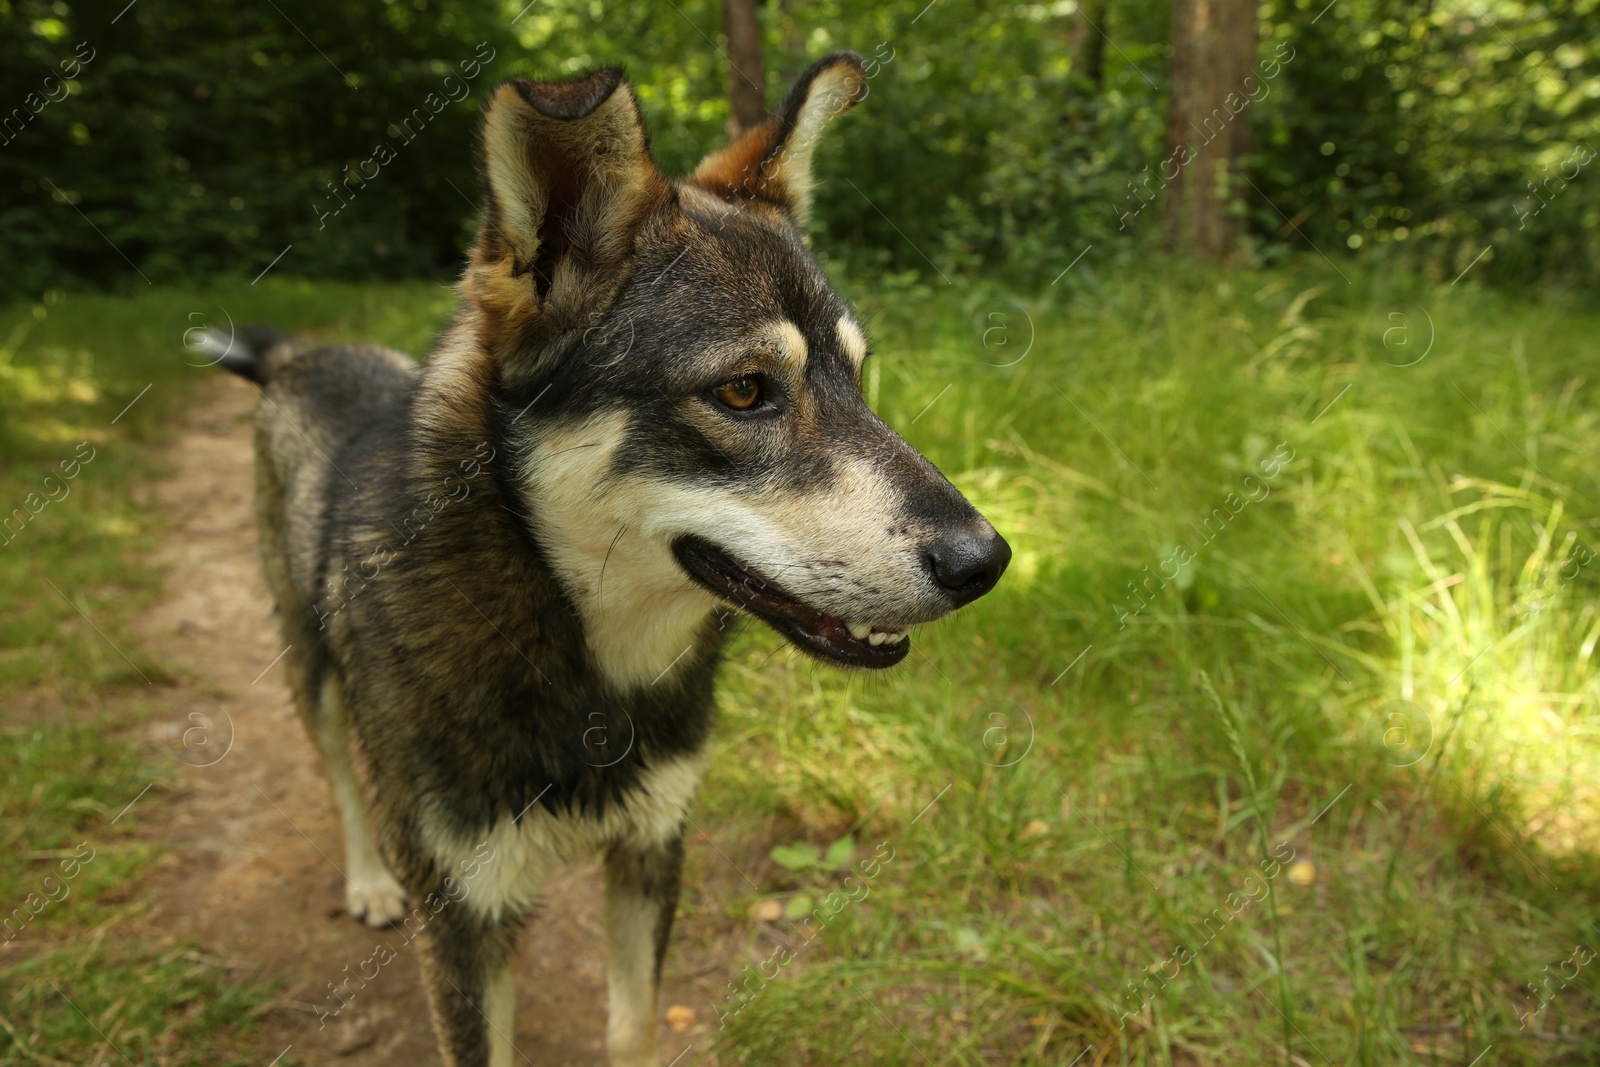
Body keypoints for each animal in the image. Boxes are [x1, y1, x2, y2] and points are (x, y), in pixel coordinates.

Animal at [200, 51, 1004, 1067]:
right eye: (745, 390)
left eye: (856, 378)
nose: (989, 560)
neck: (580, 656)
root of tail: (298, 356)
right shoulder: (462, 920)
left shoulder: (652, 848)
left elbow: (633, 1026)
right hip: (312, 671)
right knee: (343, 778)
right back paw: (369, 879)